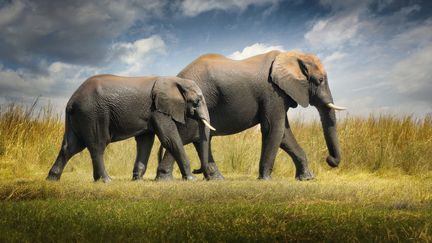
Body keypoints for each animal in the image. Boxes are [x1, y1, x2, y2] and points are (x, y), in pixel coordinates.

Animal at [46, 75, 215, 181]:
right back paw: (106, 180)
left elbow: (145, 142)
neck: (175, 80)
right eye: (196, 102)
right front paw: (191, 179)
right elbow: (170, 139)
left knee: (71, 146)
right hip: (93, 113)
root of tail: (72, 100)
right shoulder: (158, 109)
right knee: (97, 145)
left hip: (78, 116)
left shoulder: (150, 113)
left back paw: (52, 179)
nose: (198, 171)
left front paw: (137, 179)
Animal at [152, 50, 344, 180]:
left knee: (200, 138)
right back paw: (165, 178)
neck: (291, 56)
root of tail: (177, 77)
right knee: (187, 135)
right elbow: (273, 129)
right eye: (320, 81)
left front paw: (307, 179)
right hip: (195, 101)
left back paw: (215, 179)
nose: (329, 160)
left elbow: (284, 134)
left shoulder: (279, 94)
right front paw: (265, 179)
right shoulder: (272, 92)